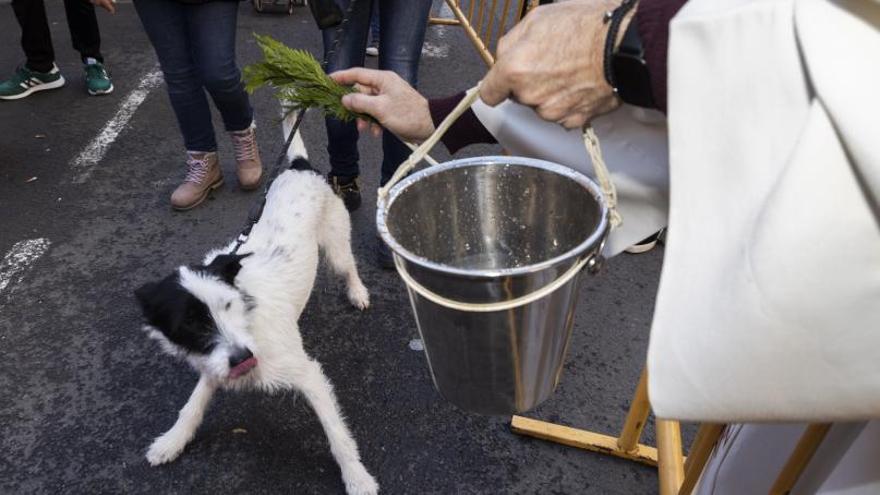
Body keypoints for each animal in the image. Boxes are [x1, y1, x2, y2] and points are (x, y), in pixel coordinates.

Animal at [135, 124, 378, 495]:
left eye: (227, 305)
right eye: (190, 325)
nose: (243, 358)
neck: (248, 316)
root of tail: (299, 167)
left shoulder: (309, 375)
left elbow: (337, 435)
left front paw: (357, 477)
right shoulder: (216, 364)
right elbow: (192, 405)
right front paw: (172, 441)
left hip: (336, 245)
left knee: (348, 266)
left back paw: (357, 292)